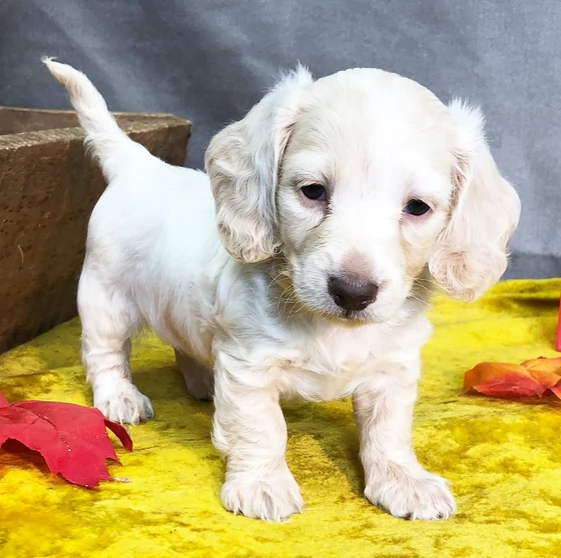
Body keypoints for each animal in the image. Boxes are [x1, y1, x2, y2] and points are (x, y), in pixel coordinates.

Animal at [44, 59, 520, 524]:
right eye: (313, 191)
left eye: (418, 207)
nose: (353, 292)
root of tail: (141, 165)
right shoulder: (249, 365)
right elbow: (263, 427)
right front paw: (262, 484)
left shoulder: (394, 368)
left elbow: (388, 430)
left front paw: (405, 480)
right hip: (105, 299)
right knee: (106, 354)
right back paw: (119, 397)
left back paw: (202, 381)